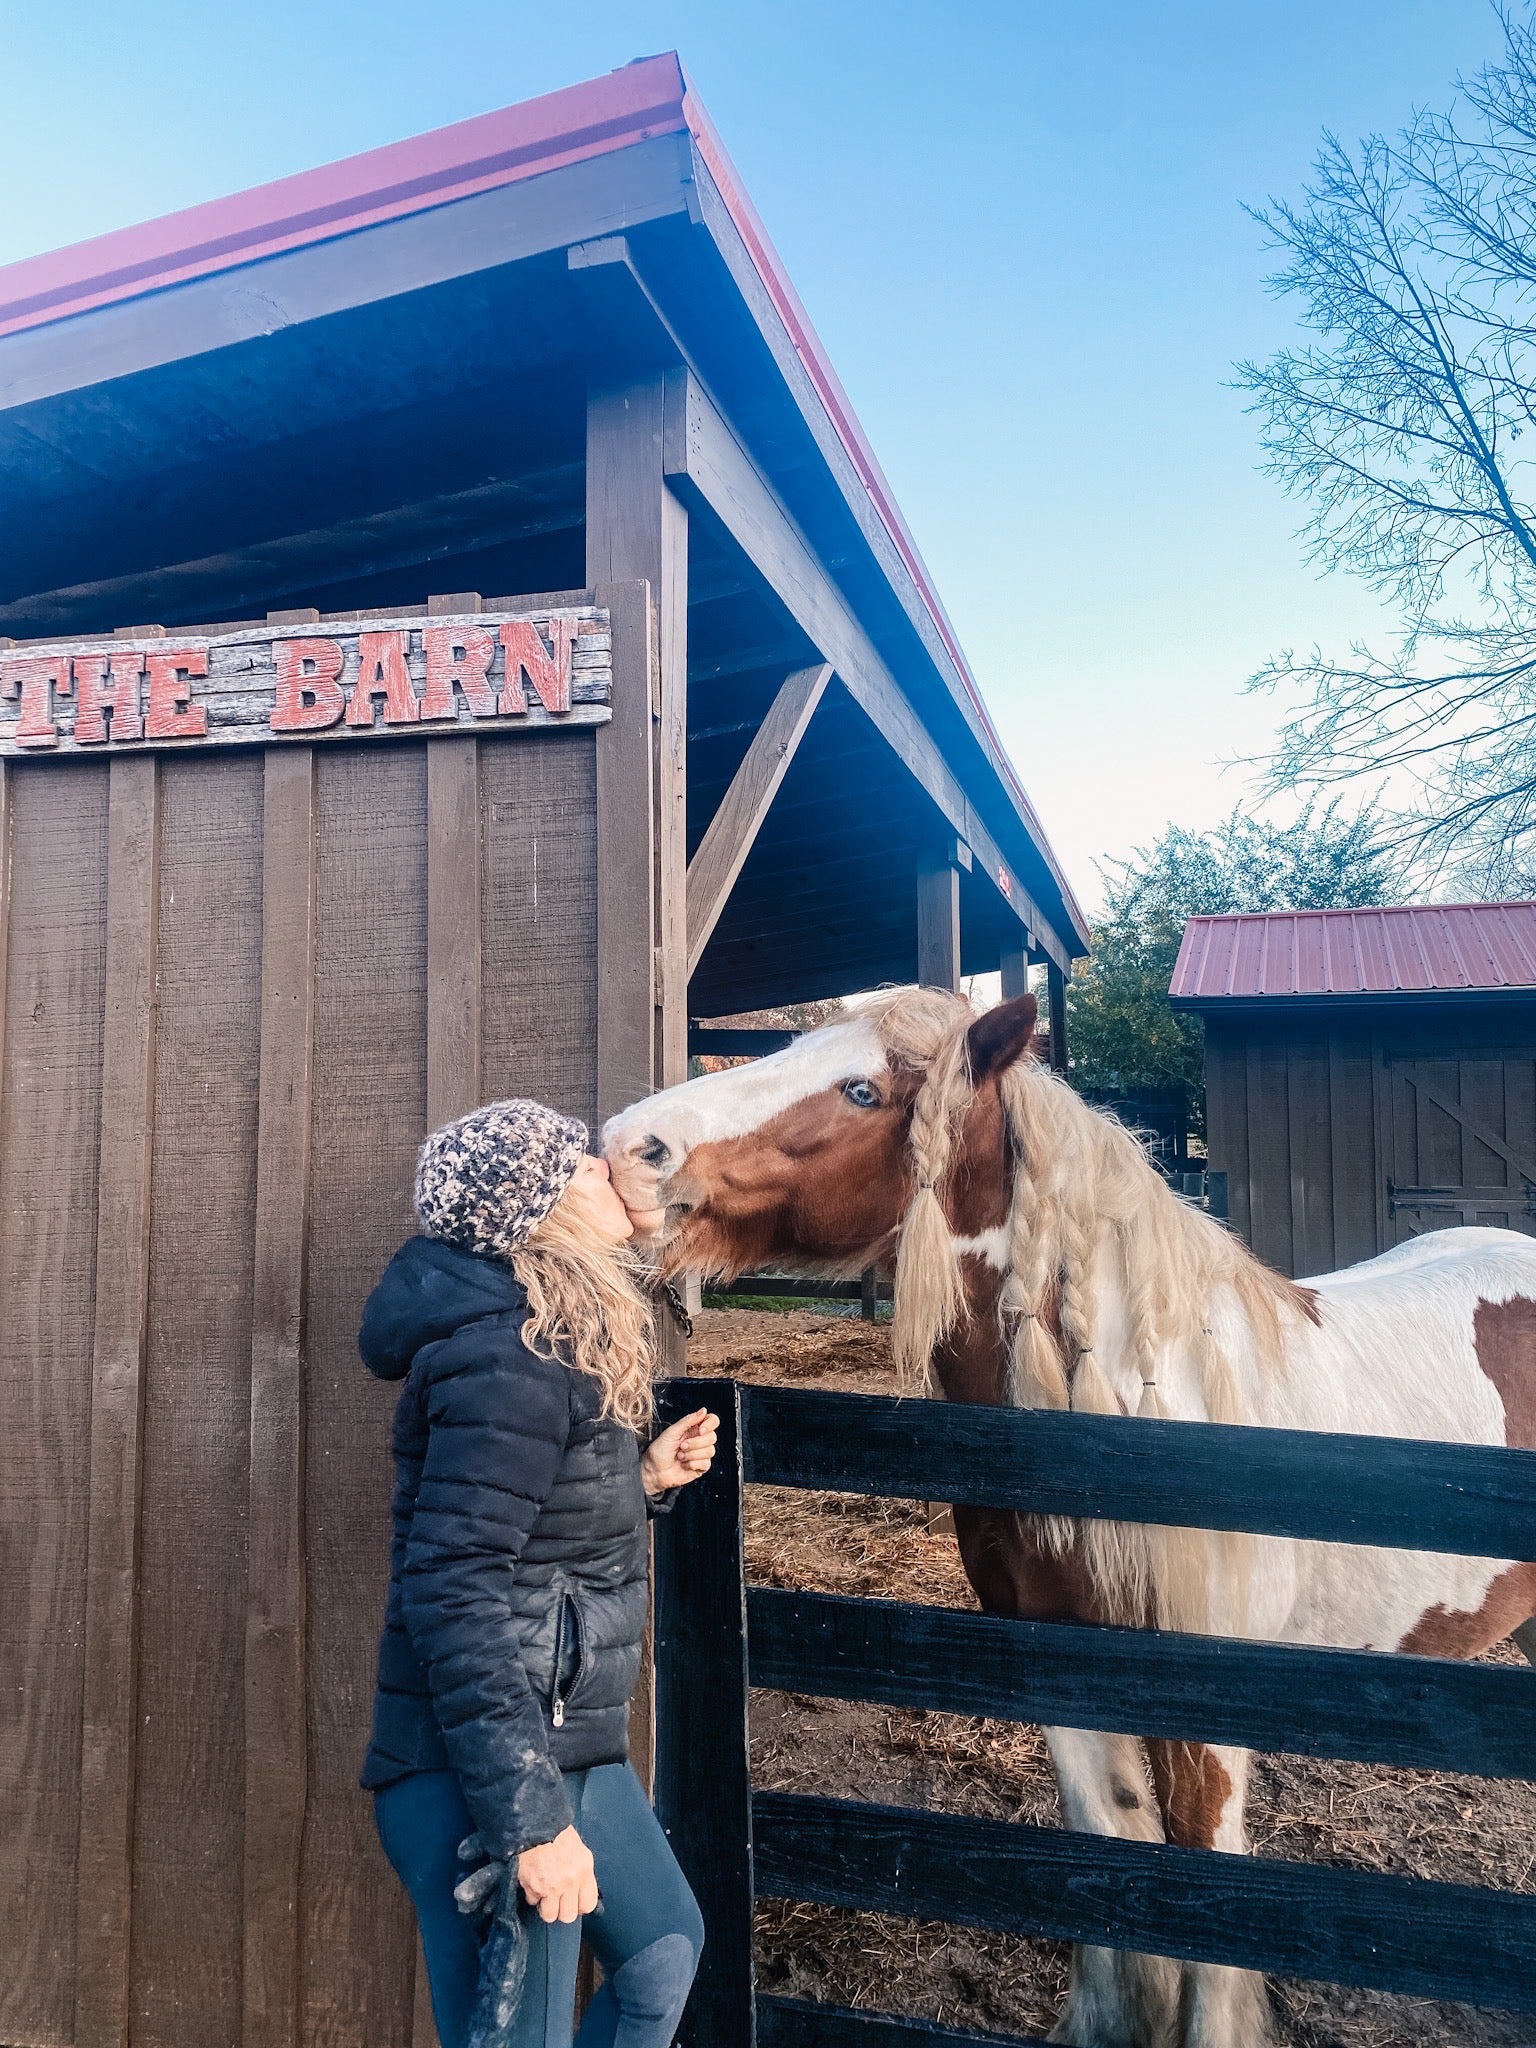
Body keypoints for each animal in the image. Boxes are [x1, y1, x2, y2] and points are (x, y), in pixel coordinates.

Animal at [606, 987, 1536, 2048]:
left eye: (861, 1090)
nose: (628, 1145)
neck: (1128, 1428)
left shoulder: (1211, 1714)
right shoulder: (1059, 1667)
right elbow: (1111, 1866)